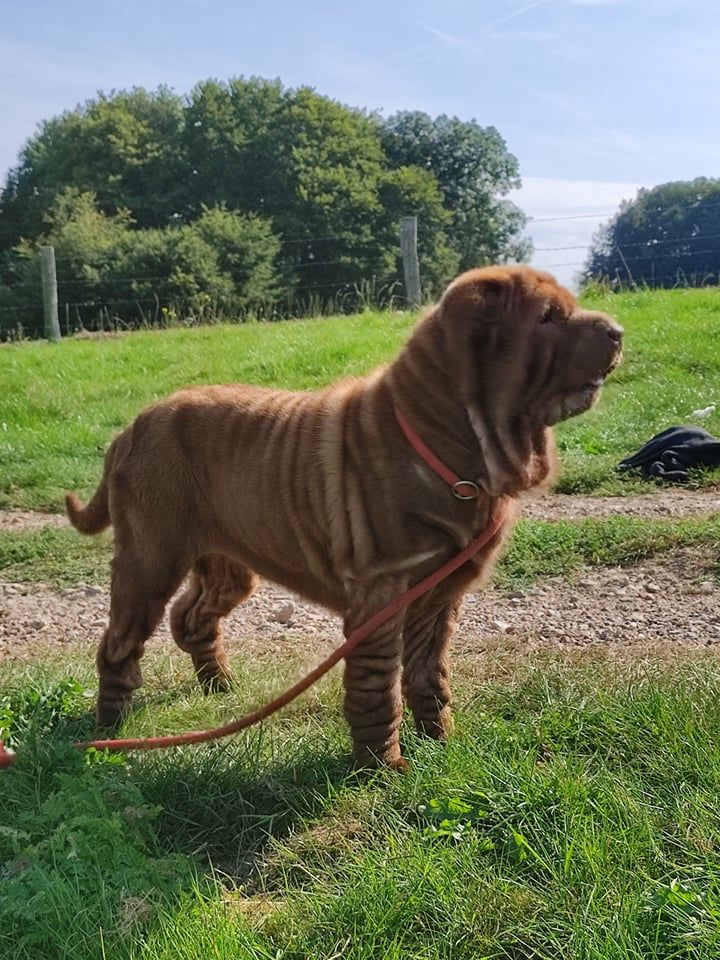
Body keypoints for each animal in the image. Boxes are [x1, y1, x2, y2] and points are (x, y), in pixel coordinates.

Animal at [64, 266, 620, 768]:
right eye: (548, 317)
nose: (617, 330)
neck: (448, 440)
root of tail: (130, 428)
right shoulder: (380, 593)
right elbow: (376, 686)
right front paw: (381, 770)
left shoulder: (441, 595)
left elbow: (429, 675)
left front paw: (439, 743)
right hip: (149, 562)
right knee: (118, 646)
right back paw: (109, 730)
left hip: (229, 563)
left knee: (192, 617)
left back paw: (219, 688)